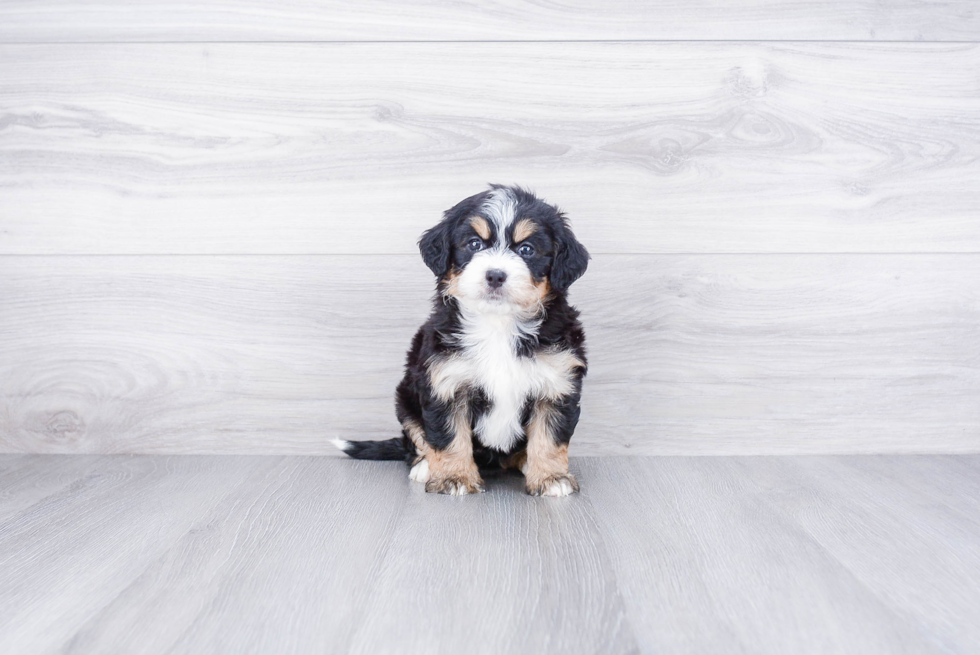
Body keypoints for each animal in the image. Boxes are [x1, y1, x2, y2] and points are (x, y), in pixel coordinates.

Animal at [334, 184, 588, 498]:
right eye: (474, 244)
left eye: (526, 249)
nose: (495, 275)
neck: (498, 324)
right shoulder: (446, 382)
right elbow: (448, 435)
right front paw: (454, 477)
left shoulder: (556, 382)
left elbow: (550, 437)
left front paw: (551, 477)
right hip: (405, 399)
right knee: (415, 439)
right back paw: (424, 466)